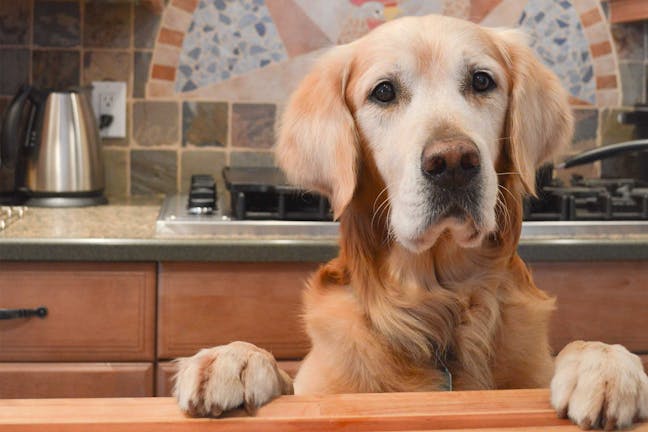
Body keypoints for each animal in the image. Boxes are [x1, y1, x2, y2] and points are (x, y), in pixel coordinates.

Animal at [175, 15, 648, 430]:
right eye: (383, 92)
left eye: (482, 81)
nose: (454, 162)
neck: (436, 305)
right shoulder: (319, 383)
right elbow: (284, 375)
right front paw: (233, 358)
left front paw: (605, 362)